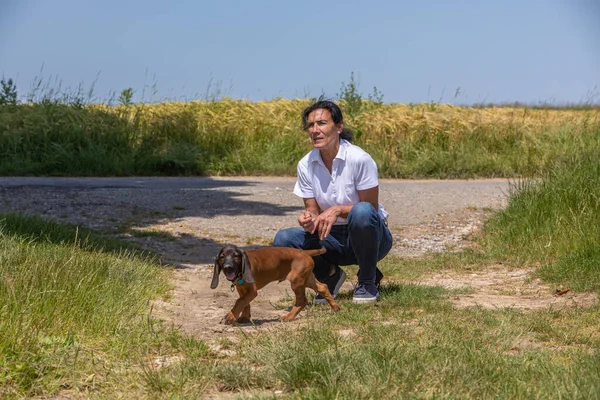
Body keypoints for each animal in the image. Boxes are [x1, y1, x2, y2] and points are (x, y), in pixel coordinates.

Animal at [212, 244, 340, 324]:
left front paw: (230, 316)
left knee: (302, 301)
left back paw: (289, 316)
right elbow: (244, 302)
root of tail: (303, 252)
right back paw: (335, 308)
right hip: (307, 278)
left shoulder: (252, 291)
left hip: (296, 281)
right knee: (323, 287)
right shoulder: (241, 289)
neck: (239, 274)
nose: (228, 267)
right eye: (222, 257)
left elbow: (240, 301)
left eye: (236, 256)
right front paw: (244, 317)